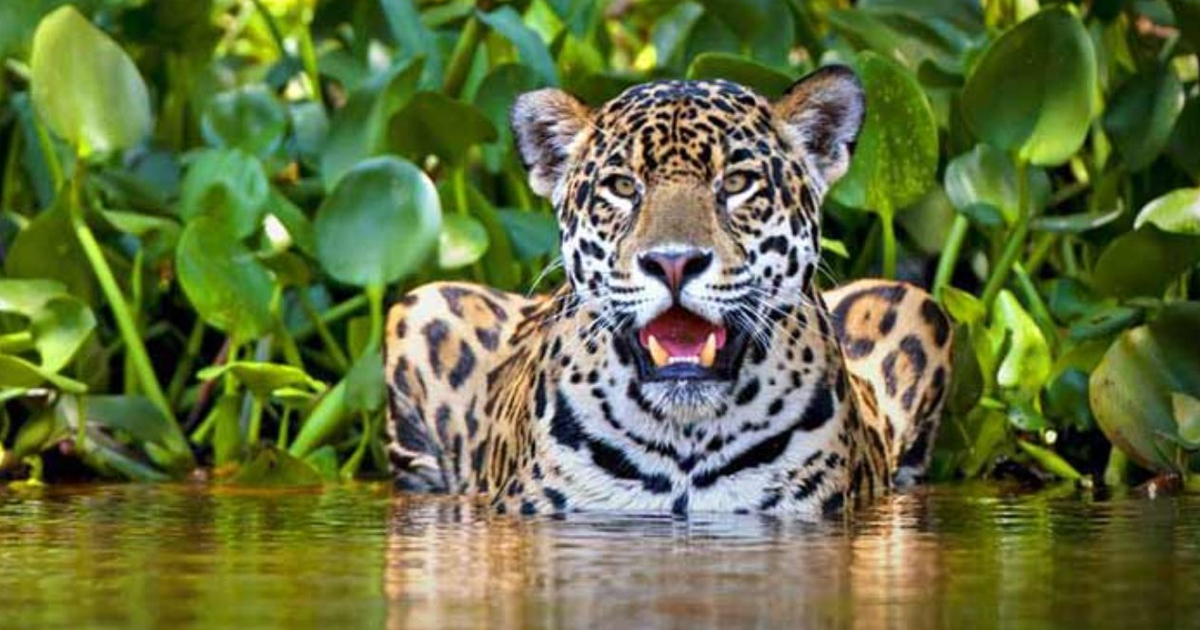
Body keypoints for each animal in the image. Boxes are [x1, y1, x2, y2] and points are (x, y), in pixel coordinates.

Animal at [383, 65, 953, 516]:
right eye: (622, 187)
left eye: (737, 182)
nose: (673, 262)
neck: (686, 437)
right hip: (421, 304)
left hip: (912, 303)